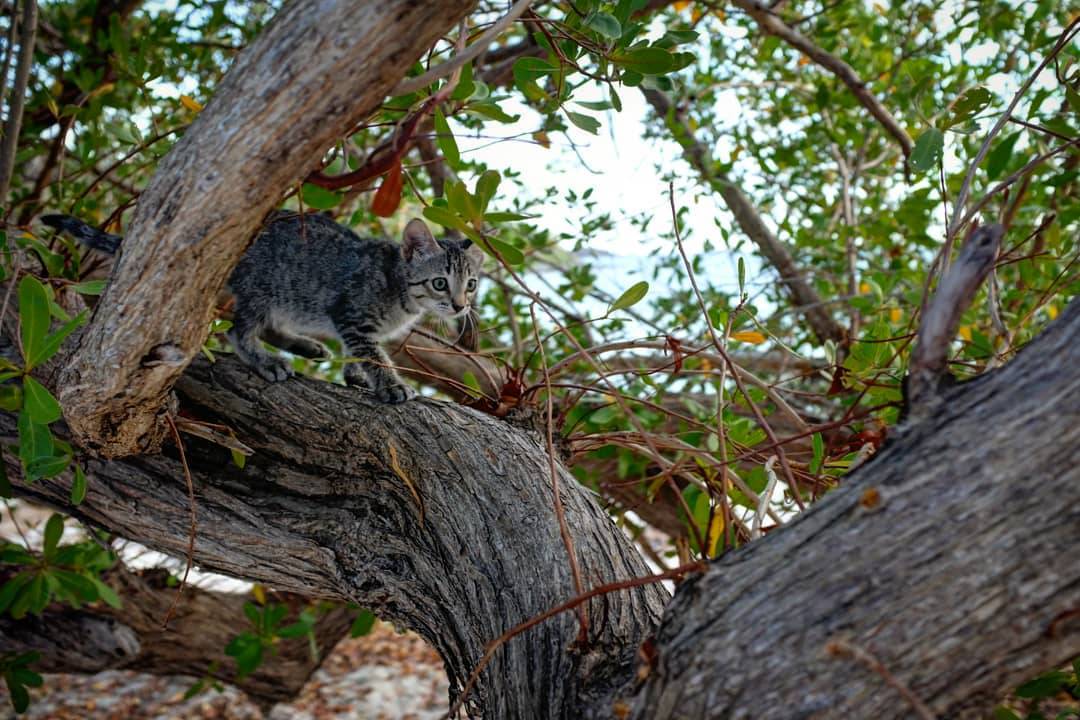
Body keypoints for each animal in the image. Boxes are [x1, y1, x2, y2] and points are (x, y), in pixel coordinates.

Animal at [42, 213, 481, 405]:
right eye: (440, 282)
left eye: (471, 285)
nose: (460, 307)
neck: (398, 287)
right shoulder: (351, 314)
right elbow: (372, 353)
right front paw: (390, 383)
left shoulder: (349, 324)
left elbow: (359, 352)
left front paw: (355, 375)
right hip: (263, 287)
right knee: (238, 331)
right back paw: (266, 360)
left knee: (265, 325)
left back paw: (304, 346)